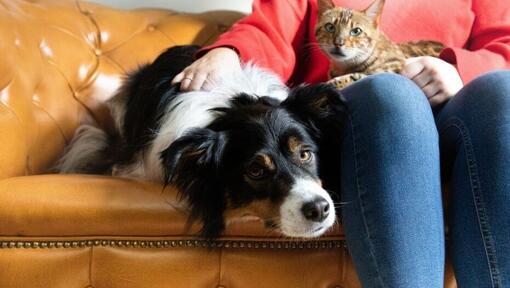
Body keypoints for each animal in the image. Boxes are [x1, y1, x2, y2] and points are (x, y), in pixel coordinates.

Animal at [316, 0, 444, 89]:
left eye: (356, 31)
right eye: (330, 27)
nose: (338, 43)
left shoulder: (393, 68)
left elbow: (358, 76)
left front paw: (333, 84)